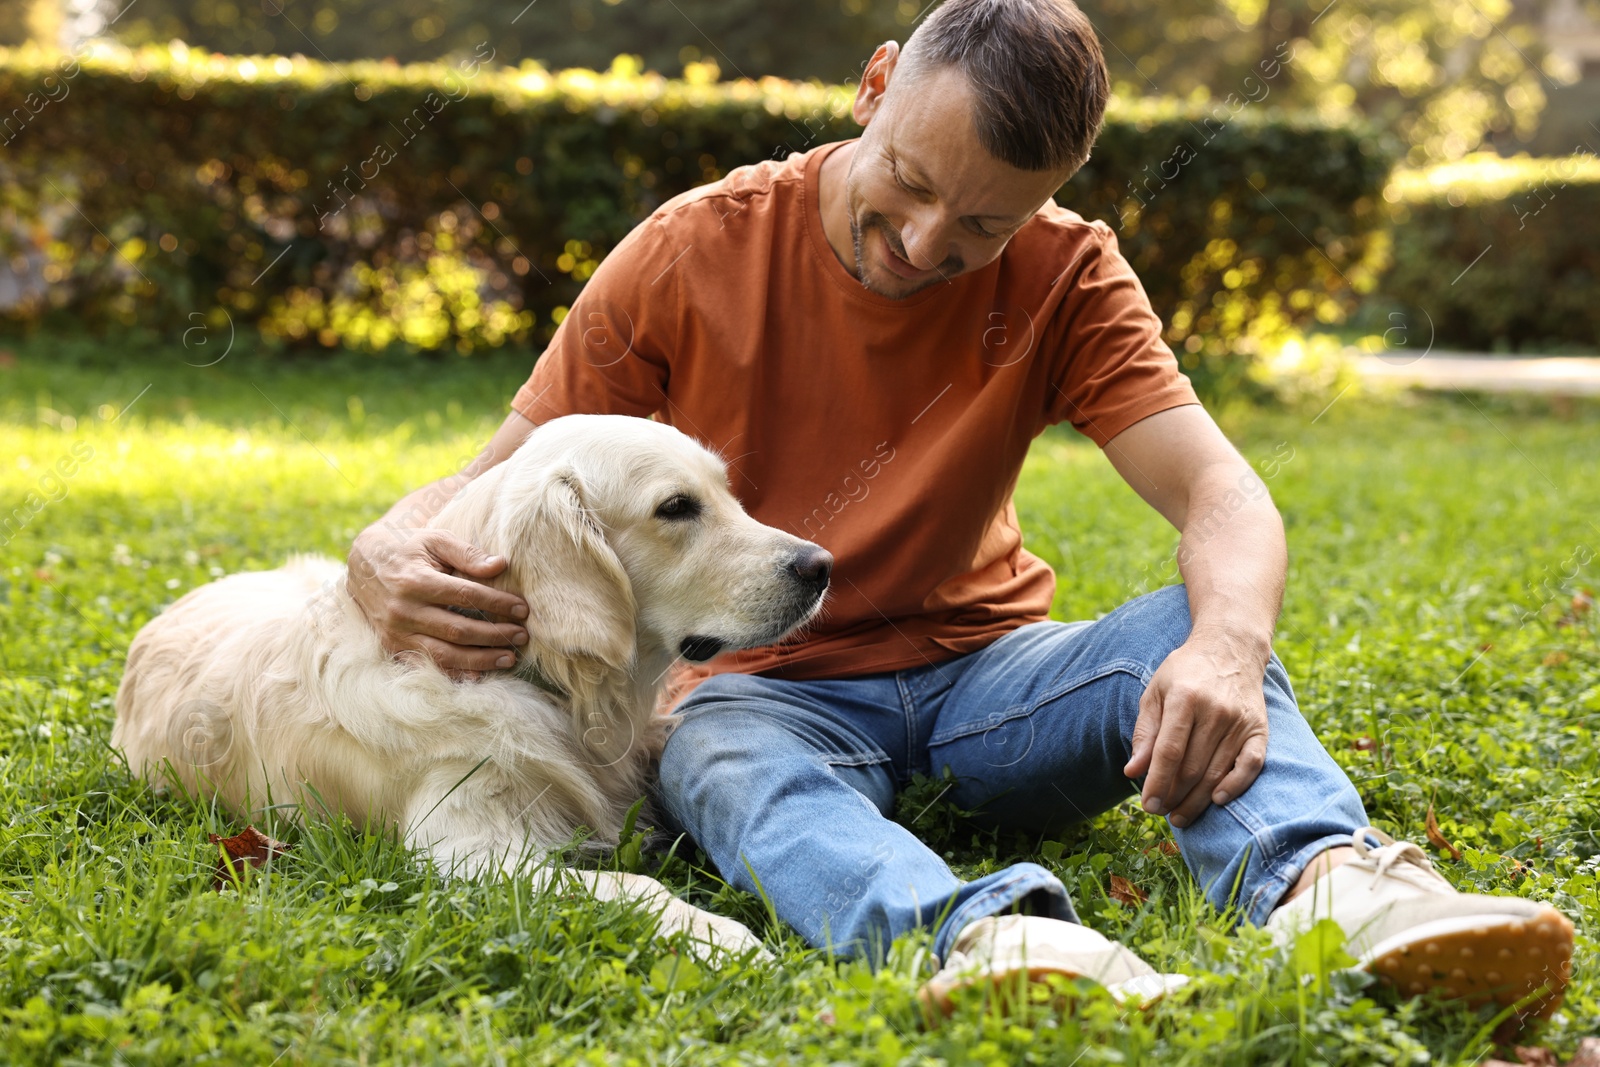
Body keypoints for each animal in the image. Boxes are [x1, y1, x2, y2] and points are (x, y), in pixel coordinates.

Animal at [111, 412, 832, 953]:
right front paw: (723, 935)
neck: (550, 687)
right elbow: (637, 886)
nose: (822, 564)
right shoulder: (466, 849)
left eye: (728, 493)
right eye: (676, 507)